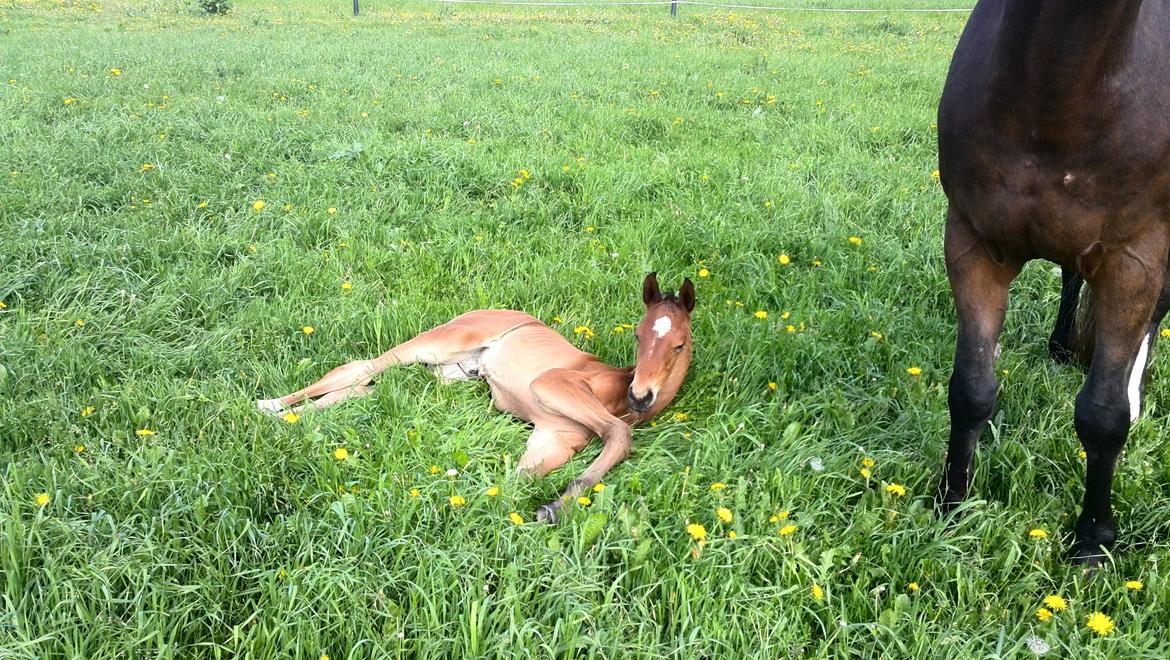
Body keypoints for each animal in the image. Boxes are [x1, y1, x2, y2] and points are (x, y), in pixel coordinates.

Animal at [258, 271, 692, 521]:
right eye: (637, 334)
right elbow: (618, 433)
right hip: (438, 344)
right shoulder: (554, 384)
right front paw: (554, 507)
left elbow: (517, 480)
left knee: (365, 389)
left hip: (451, 375)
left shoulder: (552, 436)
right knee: (359, 369)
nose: (641, 395)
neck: (616, 392)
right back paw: (270, 407)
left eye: (679, 344)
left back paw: (289, 418)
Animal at [935, 2, 1170, 564]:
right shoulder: (972, 243)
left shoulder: (1136, 260)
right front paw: (952, 505)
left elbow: (1104, 413)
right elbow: (971, 388)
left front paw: (1091, 544)